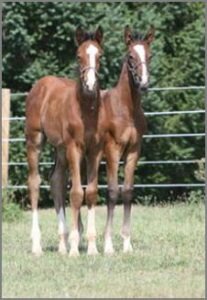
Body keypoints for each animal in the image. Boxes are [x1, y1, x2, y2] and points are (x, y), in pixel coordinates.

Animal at [25, 26, 103, 255]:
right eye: (78, 56)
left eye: (100, 55)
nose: (90, 85)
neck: (85, 110)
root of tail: (40, 85)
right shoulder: (74, 148)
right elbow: (76, 193)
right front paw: (75, 249)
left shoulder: (95, 150)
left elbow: (91, 192)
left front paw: (92, 248)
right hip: (35, 141)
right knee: (34, 182)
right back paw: (37, 245)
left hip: (59, 148)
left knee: (56, 181)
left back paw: (62, 244)